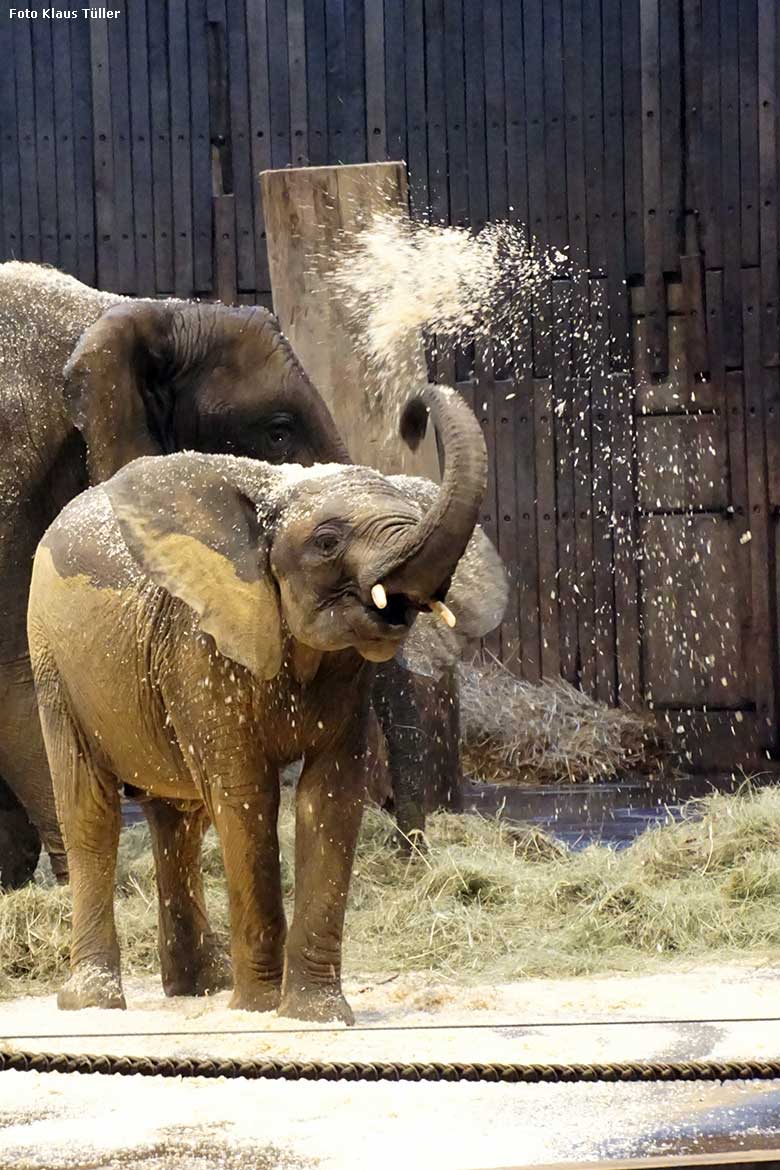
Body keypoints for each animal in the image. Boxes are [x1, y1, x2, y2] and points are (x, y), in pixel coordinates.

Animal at [27, 386, 507, 1024]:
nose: (413, 410)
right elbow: (246, 797)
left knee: (177, 818)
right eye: (327, 543)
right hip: (52, 661)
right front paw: (257, 1007)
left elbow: (329, 796)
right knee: (90, 812)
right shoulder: (201, 648)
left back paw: (199, 986)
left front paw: (316, 1014)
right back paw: (93, 1002)